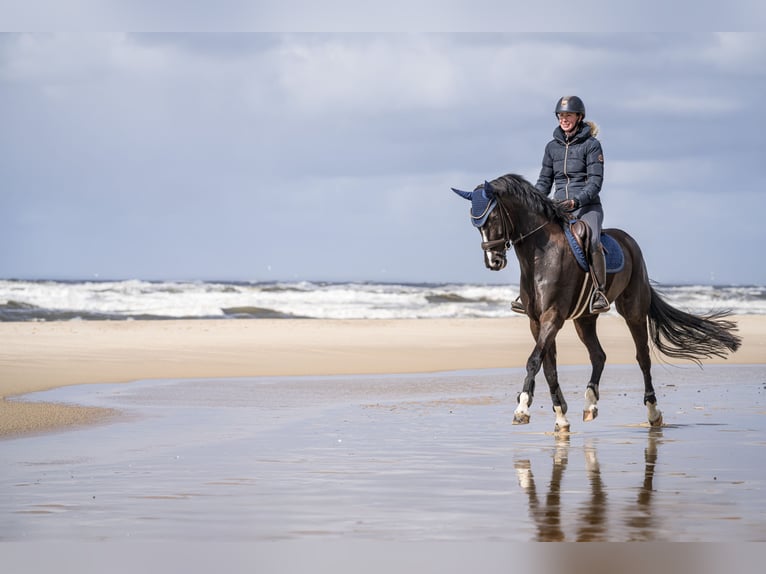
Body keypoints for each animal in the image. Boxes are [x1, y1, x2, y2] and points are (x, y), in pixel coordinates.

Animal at [452, 173, 741, 432]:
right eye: (476, 224)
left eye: (493, 218)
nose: (493, 262)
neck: (539, 257)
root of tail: (630, 242)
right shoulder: (536, 321)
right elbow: (548, 367)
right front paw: (561, 417)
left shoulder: (553, 317)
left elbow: (534, 361)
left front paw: (522, 408)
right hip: (584, 318)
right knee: (599, 355)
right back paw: (590, 403)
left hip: (633, 311)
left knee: (643, 358)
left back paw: (653, 413)